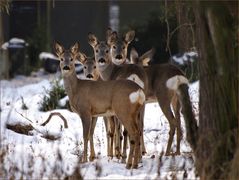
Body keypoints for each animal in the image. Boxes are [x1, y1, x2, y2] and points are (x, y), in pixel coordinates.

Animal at [53, 41, 146, 169]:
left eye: (71, 59)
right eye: (61, 59)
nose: (66, 67)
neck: (76, 89)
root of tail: (139, 91)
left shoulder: (85, 111)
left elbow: (85, 135)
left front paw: (84, 160)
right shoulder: (94, 114)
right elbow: (90, 134)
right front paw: (91, 157)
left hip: (123, 110)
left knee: (134, 133)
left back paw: (130, 164)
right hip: (135, 112)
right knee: (138, 131)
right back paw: (133, 163)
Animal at [88, 30, 148, 162]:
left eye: (107, 50)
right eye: (96, 50)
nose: (101, 60)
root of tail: (134, 76)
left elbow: (116, 129)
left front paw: (116, 153)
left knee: (126, 129)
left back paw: (124, 156)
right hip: (143, 102)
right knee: (140, 126)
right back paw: (139, 157)